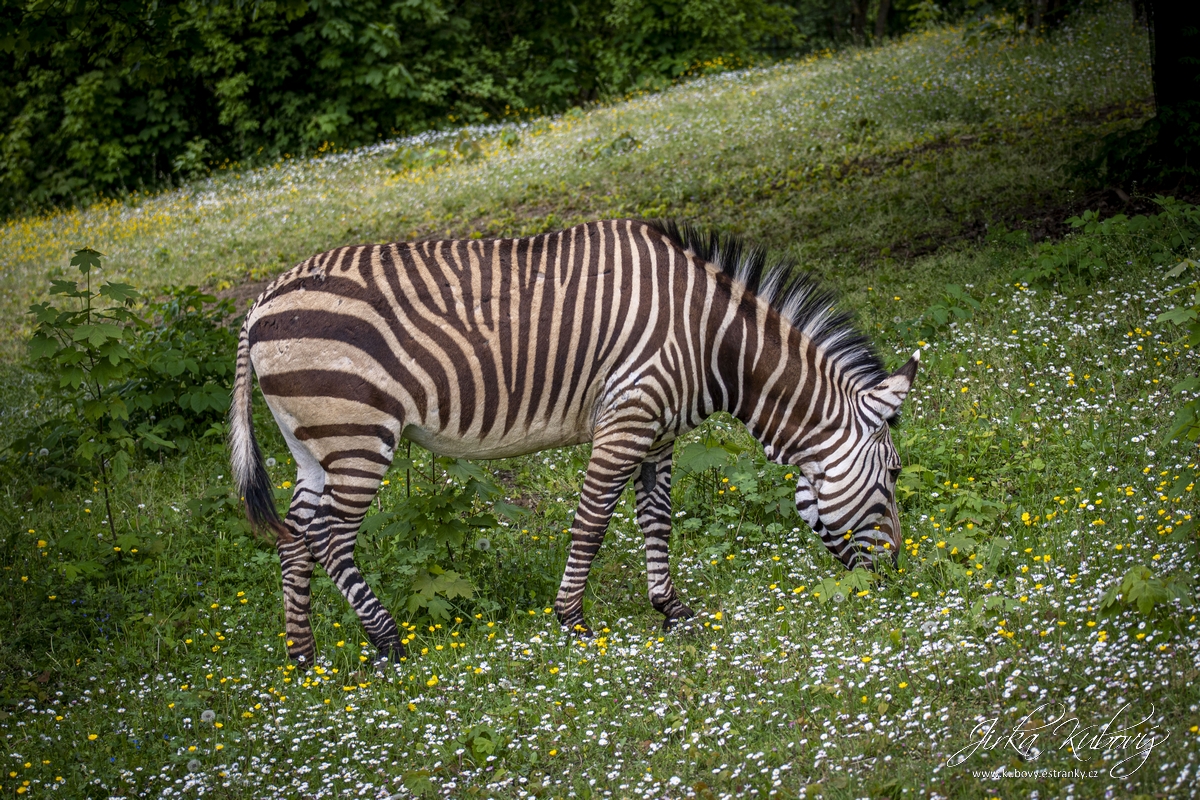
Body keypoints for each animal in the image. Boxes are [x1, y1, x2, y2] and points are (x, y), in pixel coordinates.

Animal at [226, 219, 916, 662]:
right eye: (894, 474)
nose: (894, 578)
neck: (714, 341)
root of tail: (261, 302)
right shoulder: (629, 417)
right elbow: (593, 521)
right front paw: (574, 622)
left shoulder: (658, 433)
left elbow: (656, 519)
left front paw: (671, 609)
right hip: (357, 433)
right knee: (327, 539)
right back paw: (389, 643)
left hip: (313, 446)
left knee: (294, 537)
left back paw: (305, 659)